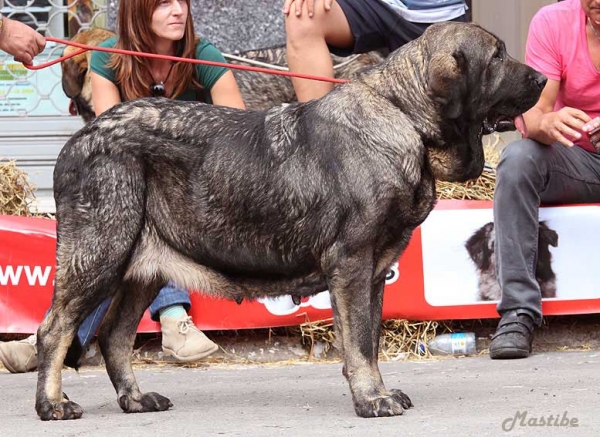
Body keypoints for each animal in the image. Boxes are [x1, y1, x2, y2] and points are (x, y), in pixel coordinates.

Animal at [35, 23, 548, 418]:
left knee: (114, 336)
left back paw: (135, 399)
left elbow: (369, 340)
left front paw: (378, 391)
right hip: (99, 254)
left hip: (140, 269)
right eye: (497, 56)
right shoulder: (352, 264)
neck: (403, 116)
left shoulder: (374, 272)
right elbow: (359, 341)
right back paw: (52, 404)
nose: (543, 79)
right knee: (55, 329)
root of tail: (78, 140)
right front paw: (371, 399)